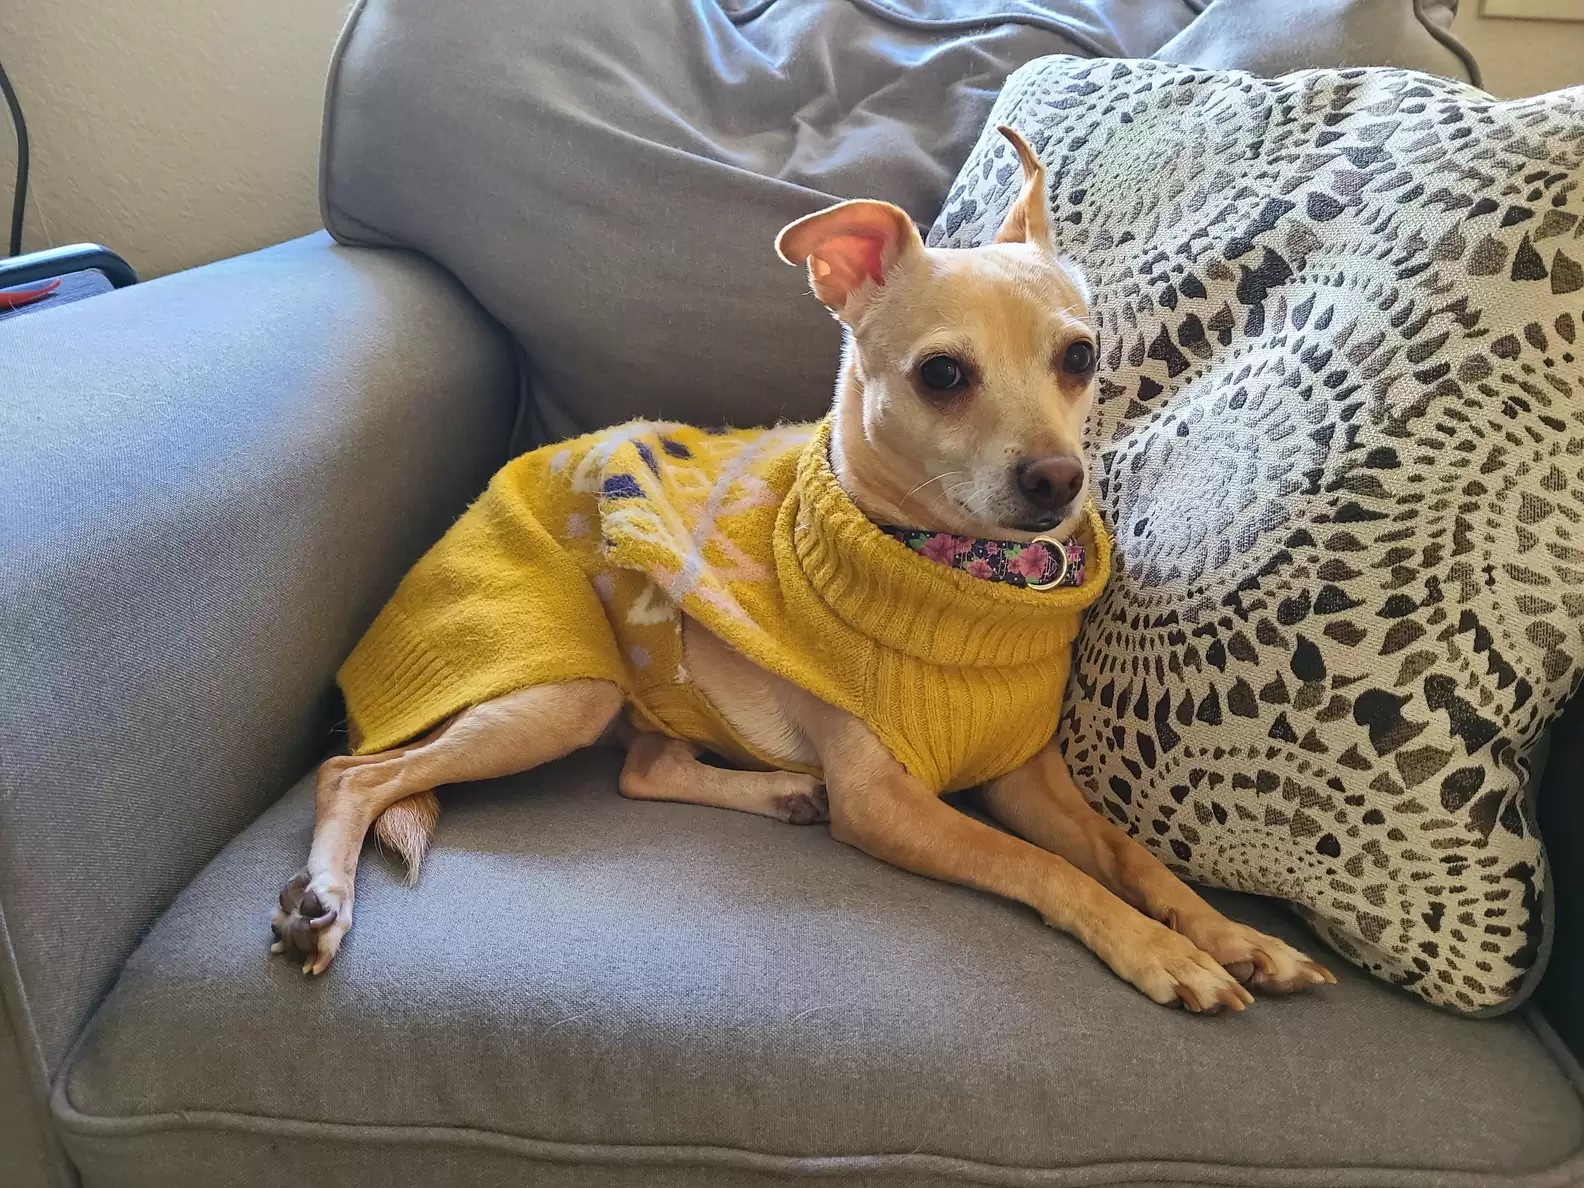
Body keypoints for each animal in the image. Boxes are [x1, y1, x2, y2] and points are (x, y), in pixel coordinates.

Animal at [275, 128, 1336, 1013]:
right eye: (942, 376)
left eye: (1079, 357)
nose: (1057, 480)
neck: (961, 577)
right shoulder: (893, 806)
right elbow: (1050, 871)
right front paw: (1162, 953)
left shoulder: (1027, 776)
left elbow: (1128, 855)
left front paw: (1233, 936)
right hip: (564, 691)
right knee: (354, 775)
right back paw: (323, 900)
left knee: (644, 769)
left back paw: (779, 793)